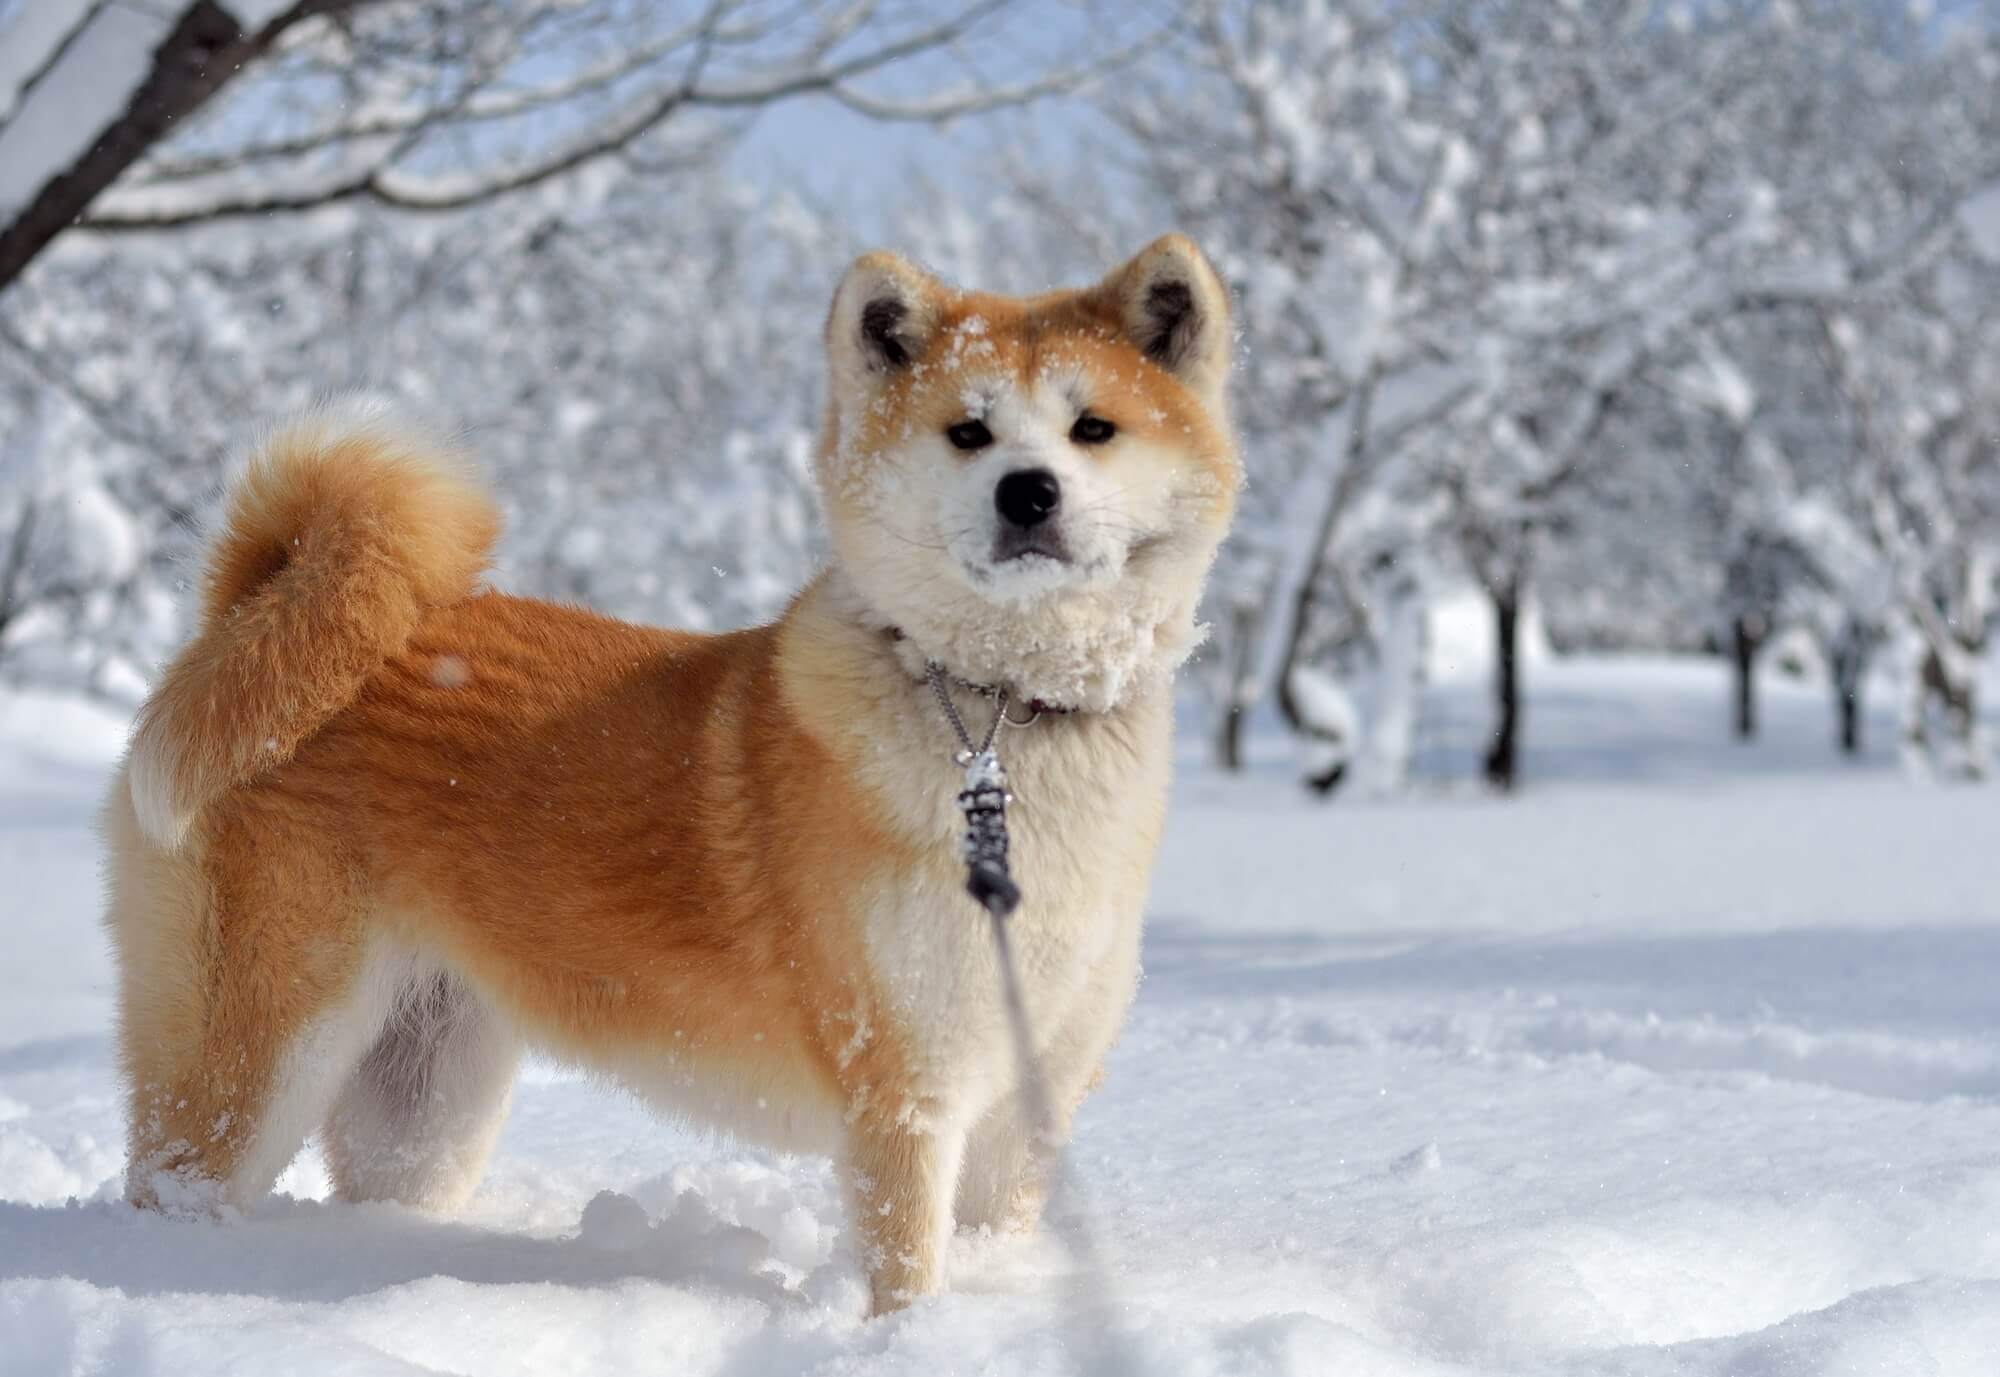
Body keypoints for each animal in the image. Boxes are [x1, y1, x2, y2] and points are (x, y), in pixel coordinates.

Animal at [109, 234, 1240, 1312]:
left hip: (422, 1101)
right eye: (968, 432)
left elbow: (987, 1235)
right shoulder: (903, 1092)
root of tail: (248, 609)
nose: (1028, 491)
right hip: (258, 1055)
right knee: (171, 1185)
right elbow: (906, 1270)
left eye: (1093, 429)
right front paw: (907, 1341)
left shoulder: (1018, 1113)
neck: (1002, 717)